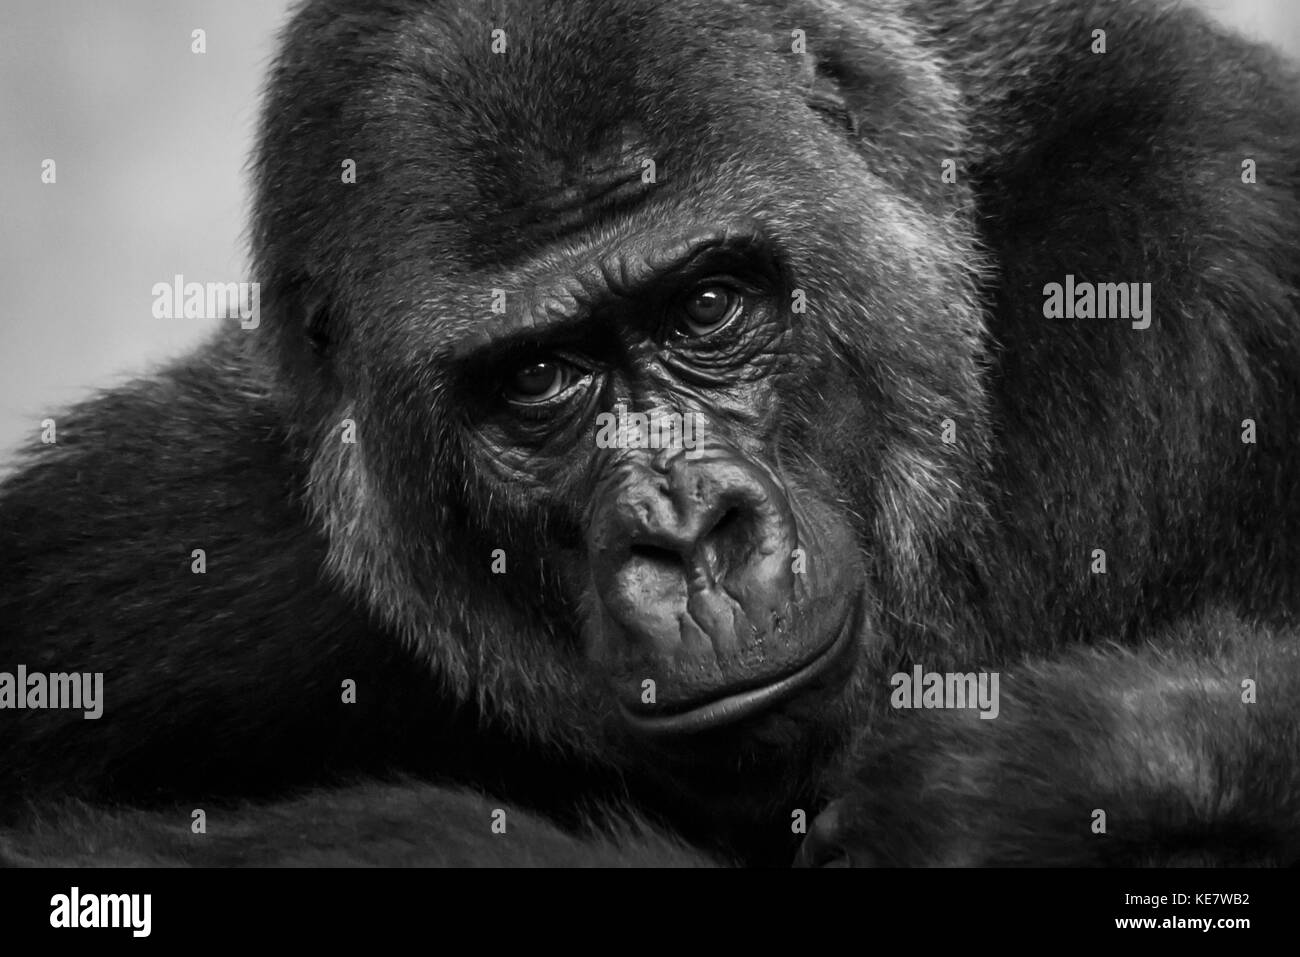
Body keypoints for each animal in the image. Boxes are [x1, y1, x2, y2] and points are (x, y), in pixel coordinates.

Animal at [2, 0, 1300, 868]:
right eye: (538, 377)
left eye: (708, 306)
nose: (684, 538)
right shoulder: (169, 526)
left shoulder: (1195, 220)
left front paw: (1060, 762)